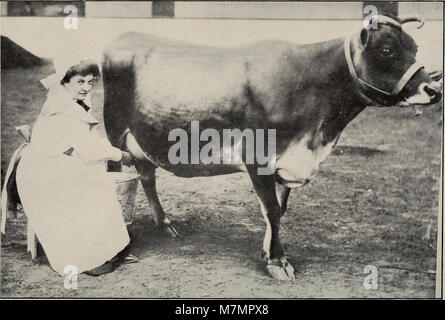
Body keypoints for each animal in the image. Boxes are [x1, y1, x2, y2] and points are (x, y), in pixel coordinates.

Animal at [103, 15, 440, 280]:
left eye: (415, 48)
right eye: (387, 50)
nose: (433, 89)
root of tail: (125, 35)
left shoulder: (289, 160)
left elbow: (280, 208)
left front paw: (269, 252)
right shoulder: (258, 158)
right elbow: (273, 210)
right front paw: (278, 261)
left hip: (142, 139)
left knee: (147, 176)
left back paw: (165, 225)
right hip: (114, 132)